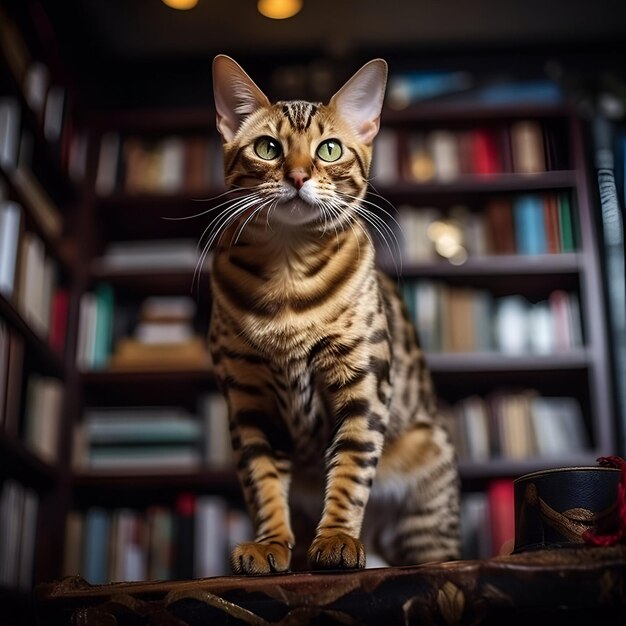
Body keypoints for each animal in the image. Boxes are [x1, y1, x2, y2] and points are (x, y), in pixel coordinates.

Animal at [207, 53, 456, 572]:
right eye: (267, 148)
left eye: (329, 149)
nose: (299, 177)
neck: (287, 270)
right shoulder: (248, 402)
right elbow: (261, 482)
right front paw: (269, 544)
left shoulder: (362, 384)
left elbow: (350, 471)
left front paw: (337, 538)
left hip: (427, 493)